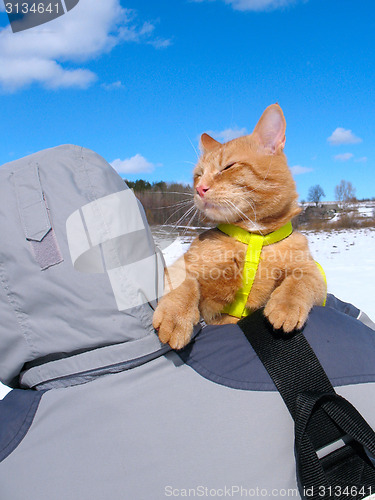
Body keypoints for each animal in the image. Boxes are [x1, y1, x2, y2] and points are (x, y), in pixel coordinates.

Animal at [153, 104, 326, 350]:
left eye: (228, 167)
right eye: (198, 175)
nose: (199, 189)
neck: (254, 236)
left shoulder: (313, 270)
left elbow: (300, 281)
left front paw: (286, 307)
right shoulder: (183, 265)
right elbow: (185, 284)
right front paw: (176, 317)